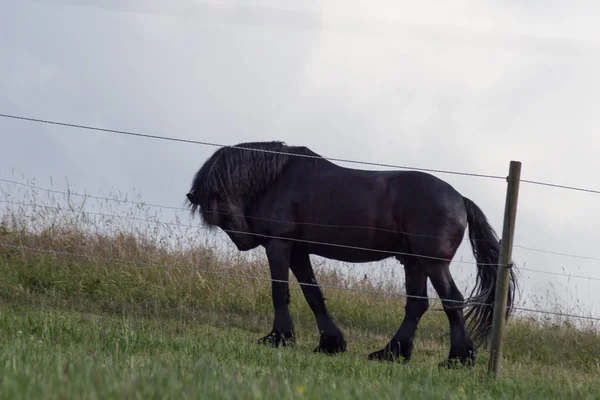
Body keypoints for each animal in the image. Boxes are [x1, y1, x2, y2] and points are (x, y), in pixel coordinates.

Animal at [186, 141, 516, 368]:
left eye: (219, 202)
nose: (245, 241)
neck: (277, 179)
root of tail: (460, 198)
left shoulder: (278, 245)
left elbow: (280, 292)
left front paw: (278, 338)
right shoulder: (298, 250)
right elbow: (313, 295)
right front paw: (330, 343)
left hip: (433, 264)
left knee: (451, 301)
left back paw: (457, 359)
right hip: (413, 263)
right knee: (416, 305)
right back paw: (391, 353)